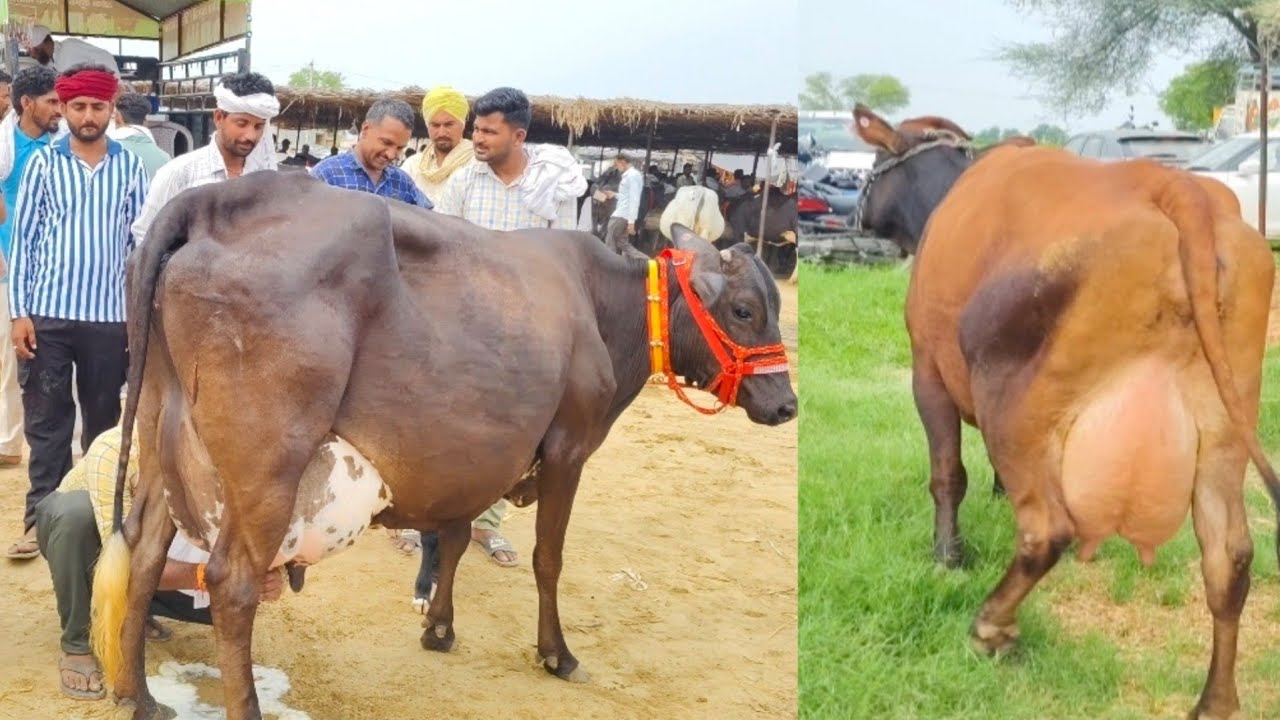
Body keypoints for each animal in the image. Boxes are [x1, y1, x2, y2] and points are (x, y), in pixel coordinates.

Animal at [88, 169, 797, 720]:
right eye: (743, 310)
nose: (787, 404)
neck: (602, 308)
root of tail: (216, 200)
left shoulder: (472, 455)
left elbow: (453, 537)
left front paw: (440, 626)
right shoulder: (568, 448)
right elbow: (548, 558)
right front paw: (556, 653)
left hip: (162, 433)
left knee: (143, 549)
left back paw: (140, 697)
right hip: (268, 465)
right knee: (231, 584)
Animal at [851, 102, 1280, 720]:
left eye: (875, 164)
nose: (858, 212)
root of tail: (1170, 183)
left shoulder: (926, 369)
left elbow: (947, 474)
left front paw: (948, 556)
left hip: (1012, 400)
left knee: (1046, 529)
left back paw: (990, 626)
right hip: (1224, 426)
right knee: (1229, 558)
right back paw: (1214, 701)